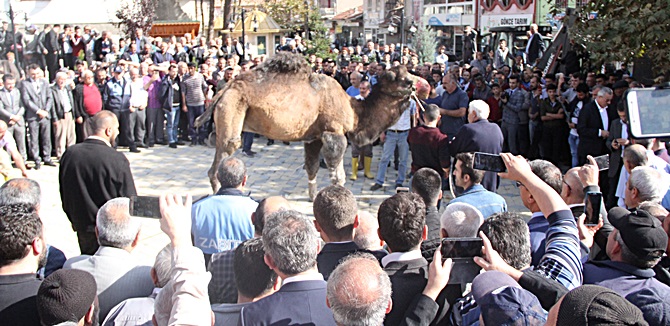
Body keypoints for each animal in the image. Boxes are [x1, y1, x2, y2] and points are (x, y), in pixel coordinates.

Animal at [202, 52, 426, 200]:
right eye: (404, 80)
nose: (424, 85)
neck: (353, 111)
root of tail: (224, 91)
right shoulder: (333, 133)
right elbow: (338, 176)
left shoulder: (314, 137)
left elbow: (311, 167)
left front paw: (312, 197)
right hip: (232, 112)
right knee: (218, 164)